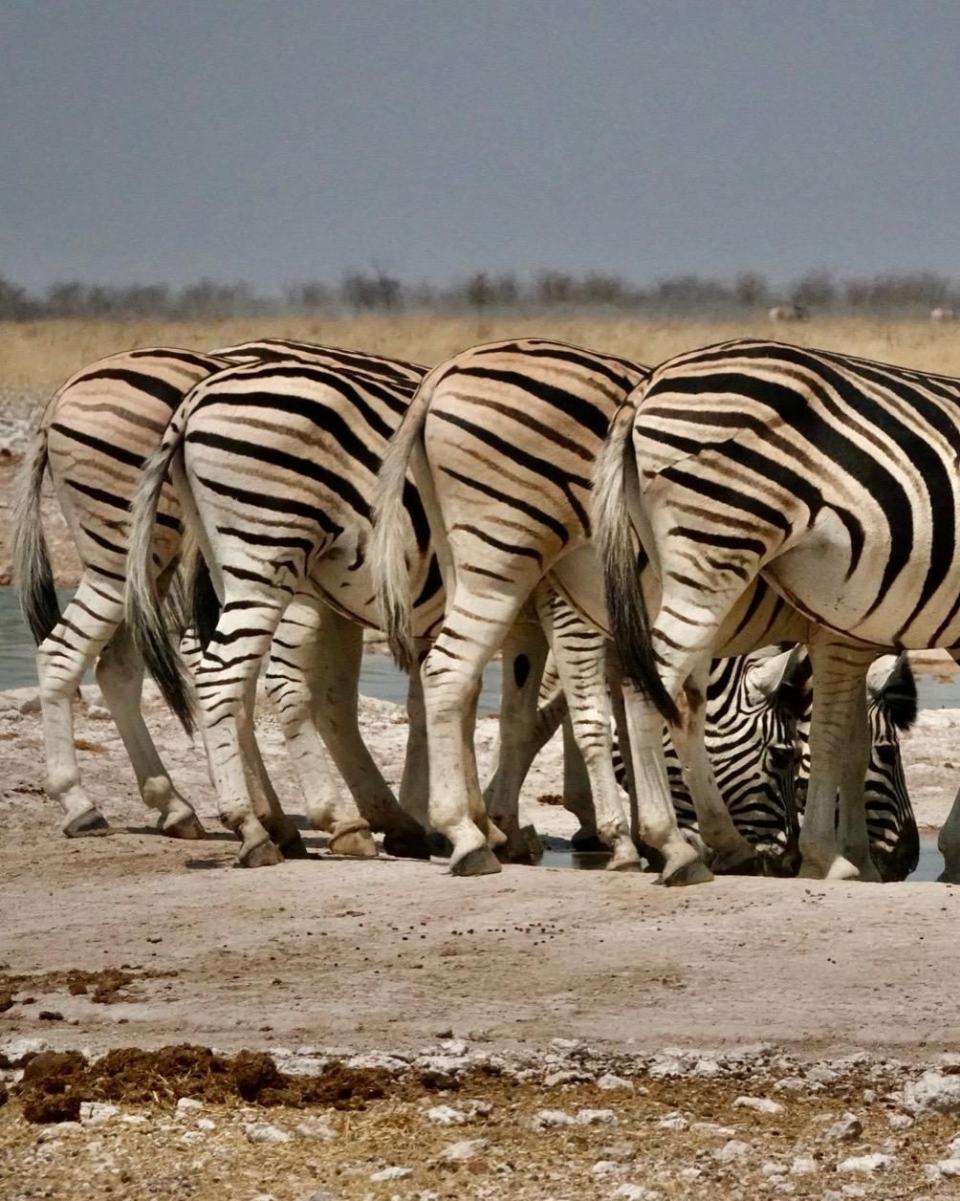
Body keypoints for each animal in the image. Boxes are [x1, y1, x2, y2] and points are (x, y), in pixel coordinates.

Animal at [13, 340, 428, 855]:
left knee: (121, 666)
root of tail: (61, 395)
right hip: (132, 553)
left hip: (153, 567)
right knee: (65, 652)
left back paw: (181, 807)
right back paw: (82, 804)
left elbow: (350, 700)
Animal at [594, 336, 959, 881]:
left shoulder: (847, 635)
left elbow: (843, 738)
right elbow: (839, 737)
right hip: (718, 540)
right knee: (649, 684)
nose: (907, 861)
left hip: (680, 567)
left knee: (682, 698)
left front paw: (849, 860)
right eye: (892, 751)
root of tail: (650, 382)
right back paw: (676, 848)